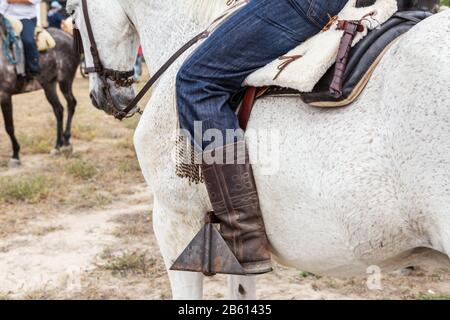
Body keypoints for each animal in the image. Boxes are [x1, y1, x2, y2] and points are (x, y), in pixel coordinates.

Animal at [0, 20, 78, 165]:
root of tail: (68, 36)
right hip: (49, 85)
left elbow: (9, 126)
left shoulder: (4, 95)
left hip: (65, 81)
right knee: (58, 110)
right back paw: (57, 146)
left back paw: (66, 143)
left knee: (71, 104)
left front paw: (15, 155)